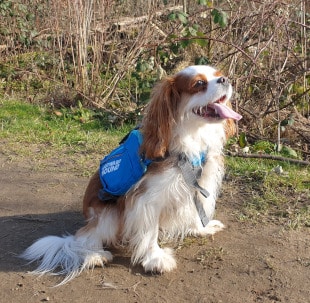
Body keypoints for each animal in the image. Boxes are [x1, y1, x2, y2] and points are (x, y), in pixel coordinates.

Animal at [21, 64, 242, 284]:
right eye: (199, 84)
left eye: (218, 75)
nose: (225, 79)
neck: (194, 136)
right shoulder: (146, 199)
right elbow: (150, 232)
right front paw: (155, 258)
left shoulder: (196, 183)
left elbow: (197, 211)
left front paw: (201, 229)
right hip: (108, 216)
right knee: (81, 238)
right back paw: (93, 255)